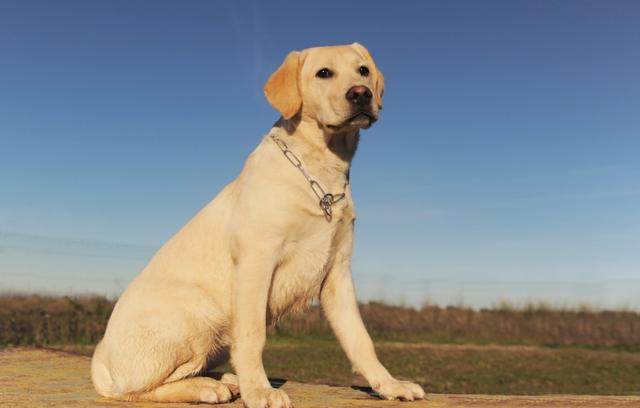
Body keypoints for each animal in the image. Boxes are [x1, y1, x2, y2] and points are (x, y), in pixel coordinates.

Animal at [91, 43, 424, 406]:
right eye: (324, 73)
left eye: (362, 70)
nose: (361, 94)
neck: (319, 174)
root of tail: (100, 360)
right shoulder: (257, 261)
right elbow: (252, 337)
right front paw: (260, 391)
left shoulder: (337, 272)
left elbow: (360, 339)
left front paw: (389, 385)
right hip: (201, 312)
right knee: (139, 389)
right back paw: (208, 387)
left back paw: (226, 380)